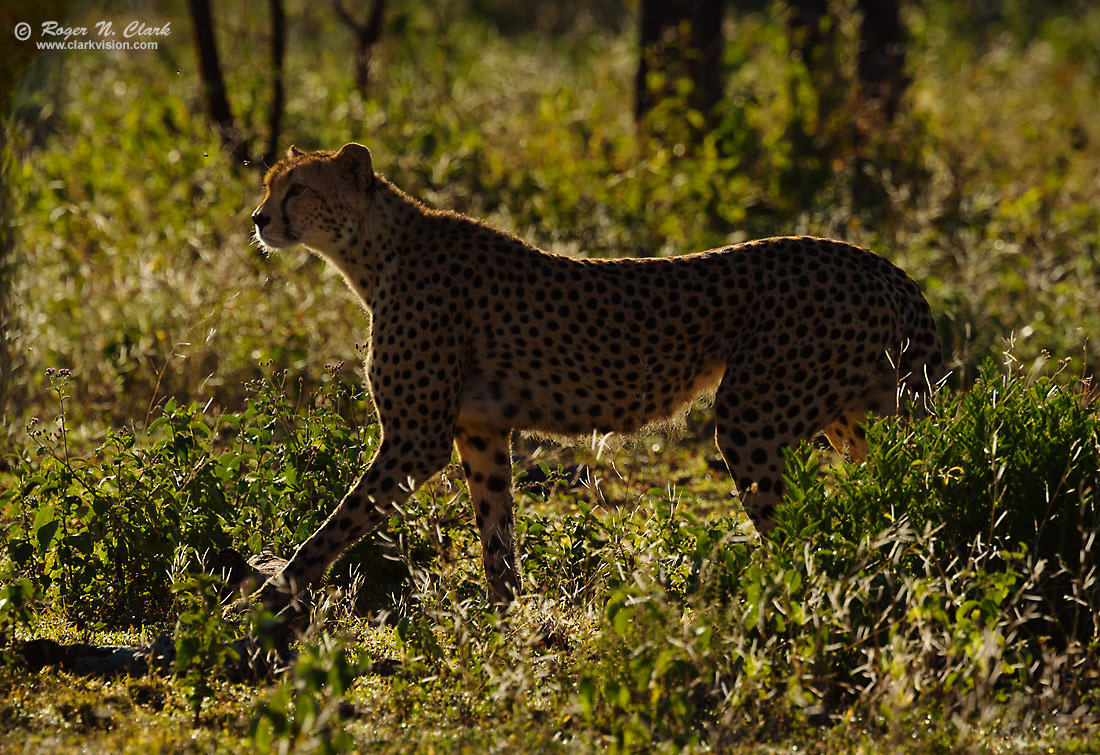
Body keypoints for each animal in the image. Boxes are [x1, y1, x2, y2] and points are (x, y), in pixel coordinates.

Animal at [249, 141, 946, 611]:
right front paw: (509, 624)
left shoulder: (415, 440)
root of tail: (878, 261)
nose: (257, 219)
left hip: (752, 419)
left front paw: (265, 601)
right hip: (854, 414)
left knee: (797, 527)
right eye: (269, 185)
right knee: (902, 478)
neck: (373, 252)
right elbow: (496, 535)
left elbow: (336, 526)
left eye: (298, 189)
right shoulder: (479, 432)